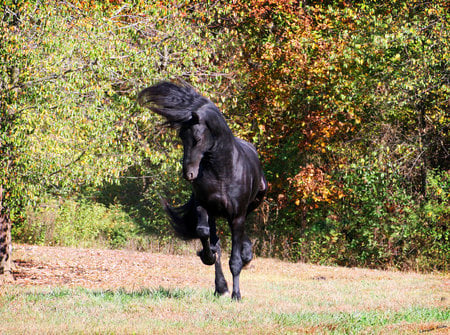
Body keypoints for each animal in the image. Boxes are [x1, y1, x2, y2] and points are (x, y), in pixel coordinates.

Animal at [139, 80, 266, 300]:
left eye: (197, 138)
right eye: (181, 138)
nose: (188, 174)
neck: (223, 172)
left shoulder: (237, 216)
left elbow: (235, 260)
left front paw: (237, 295)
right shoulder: (204, 207)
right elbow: (204, 234)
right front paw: (207, 256)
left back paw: (243, 257)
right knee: (217, 243)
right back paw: (221, 286)